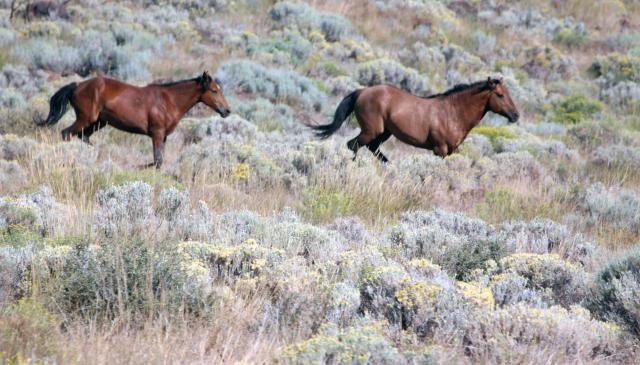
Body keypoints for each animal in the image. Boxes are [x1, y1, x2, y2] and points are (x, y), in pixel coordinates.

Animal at [38, 70, 231, 166]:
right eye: (214, 90)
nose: (227, 110)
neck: (169, 100)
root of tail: (77, 85)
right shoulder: (157, 133)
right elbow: (157, 161)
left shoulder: (164, 137)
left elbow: (159, 160)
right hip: (85, 119)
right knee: (66, 133)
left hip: (98, 122)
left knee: (82, 137)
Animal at [312, 78, 520, 161]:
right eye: (500, 95)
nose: (515, 115)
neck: (453, 112)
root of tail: (362, 91)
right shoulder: (440, 149)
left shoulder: (453, 150)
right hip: (372, 131)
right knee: (353, 145)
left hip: (384, 133)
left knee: (371, 148)